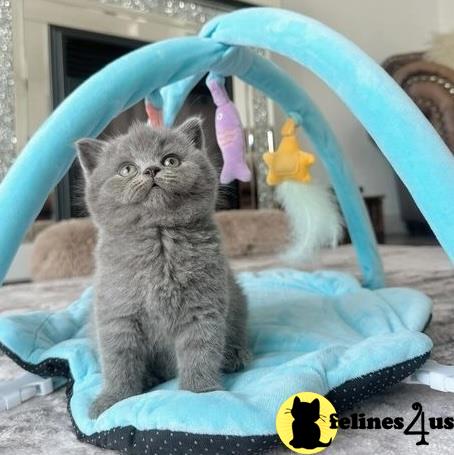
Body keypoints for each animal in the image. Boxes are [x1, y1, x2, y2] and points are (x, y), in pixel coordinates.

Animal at [76, 118, 250, 420]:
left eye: (171, 160)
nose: (151, 169)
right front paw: (112, 401)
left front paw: (201, 394)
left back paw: (234, 356)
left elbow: (200, 351)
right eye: (127, 169)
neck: (159, 242)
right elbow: (118, 361)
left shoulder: (203, 308)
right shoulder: (116, 315)